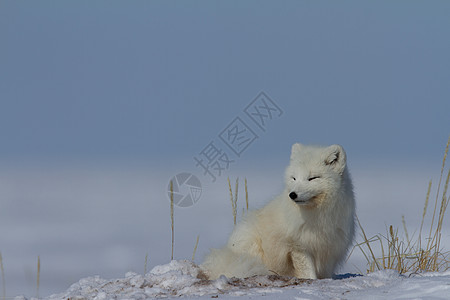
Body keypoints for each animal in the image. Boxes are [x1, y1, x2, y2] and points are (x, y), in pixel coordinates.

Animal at [203, 143, 356, 278]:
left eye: (312, 178)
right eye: (294, 178)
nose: (292, 194)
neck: (318, 216)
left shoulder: (331, 248)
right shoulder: (298, 246)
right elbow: (308, 272)